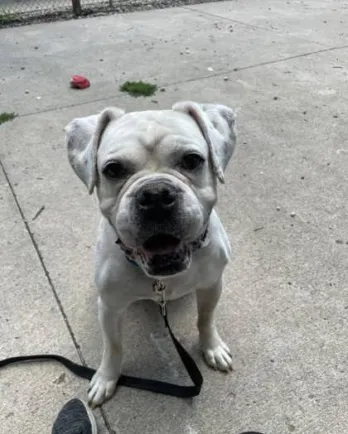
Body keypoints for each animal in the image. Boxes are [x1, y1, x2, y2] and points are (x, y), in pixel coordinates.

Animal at [66, 101, 237, 406]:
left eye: (192, 160)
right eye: (113, 169)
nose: (156, 194)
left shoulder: (211, 285)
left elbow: (205, 319)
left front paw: (212, 348)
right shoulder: (109, 307)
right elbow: (113, 345)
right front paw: (106, 377)